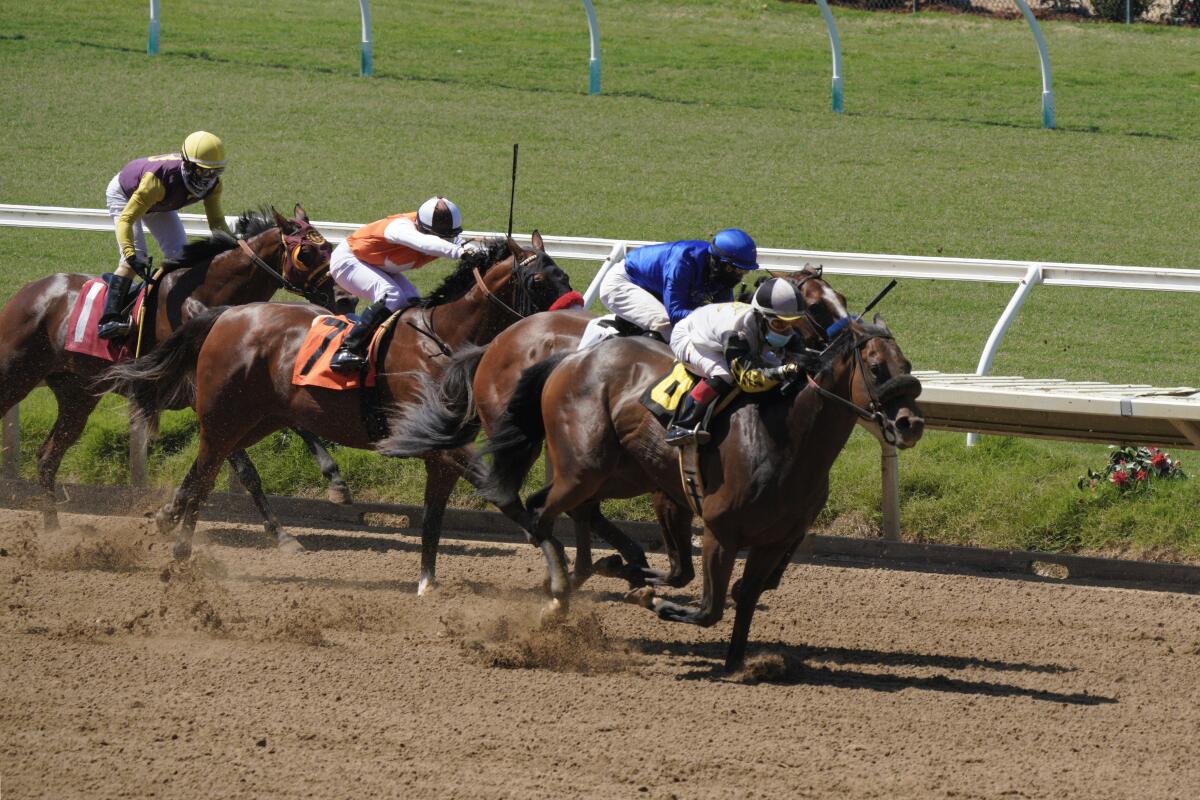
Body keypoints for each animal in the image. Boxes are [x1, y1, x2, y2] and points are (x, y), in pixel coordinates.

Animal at [0, 206, 350, 532]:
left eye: (329, 246)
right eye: (306, 252)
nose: (345, 298)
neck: (208, 298)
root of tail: (25, 292)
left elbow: (297, 427)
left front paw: (335, 481)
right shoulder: (205, 397)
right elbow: (243, 469)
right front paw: (275, 528)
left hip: (77, 395)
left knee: (47, 458)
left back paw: (52, 527)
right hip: (15, 375)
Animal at [100, 235, 578, 563]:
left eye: (566, 276)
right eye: (538, 279)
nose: (573, 323)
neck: (444, 338)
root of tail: (227, 314)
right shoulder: (435, 439)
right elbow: (493, 486)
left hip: (257, 418)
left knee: (210, 464)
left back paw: (170, 520)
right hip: (225, 414)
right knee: (208, 468)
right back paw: (185, 542)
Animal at [384, 268, 854, 594]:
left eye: (842, 298)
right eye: (817, 307)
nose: (850, 339)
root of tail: (495, 344)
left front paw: (766, 576)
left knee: (572, 503)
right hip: (527, 433)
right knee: (520, 495)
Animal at [482, 316, 921, 671]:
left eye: (908, 366)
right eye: (877, 367)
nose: (911, 424)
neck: (786, 441)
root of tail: (573, 357)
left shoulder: (775, 540)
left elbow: (744, 596)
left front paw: (738, 663)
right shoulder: (721, 531)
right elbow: (710, 609)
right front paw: (650, 599)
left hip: (620, 472)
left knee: (566, 509)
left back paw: (598, 569)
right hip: (583, 469)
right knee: (541, 514)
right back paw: (559, 592)